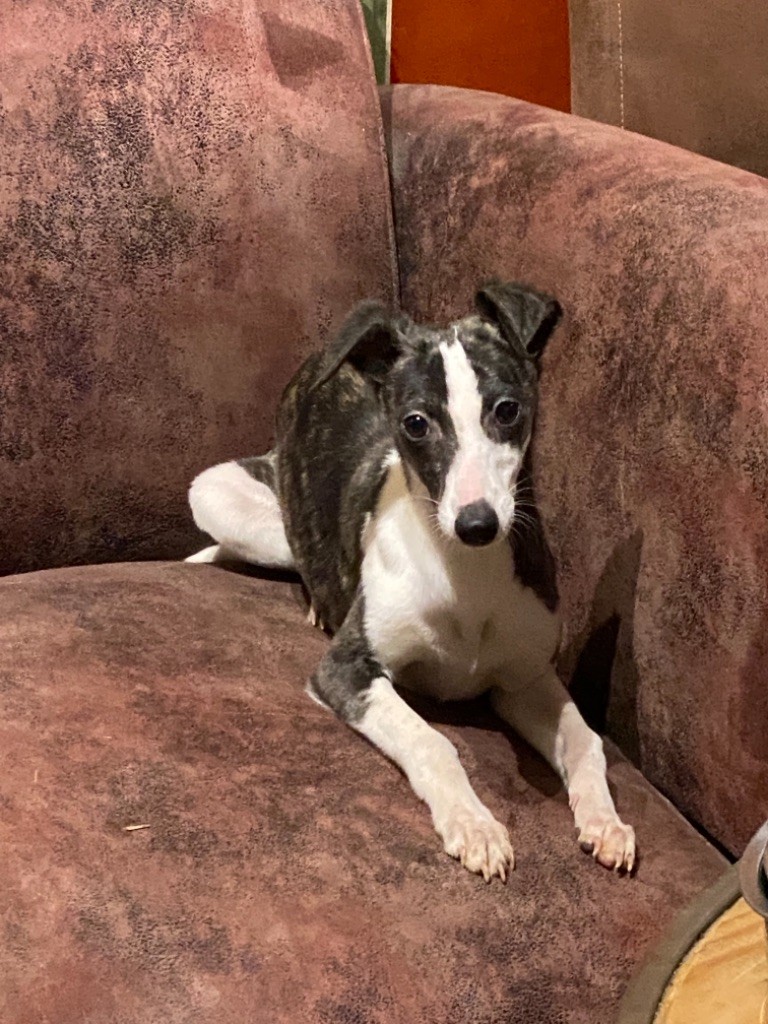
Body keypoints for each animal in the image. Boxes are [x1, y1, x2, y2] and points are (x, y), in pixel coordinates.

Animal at [186, 281, 636, 883]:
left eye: (508, 410)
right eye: (416, 423)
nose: (476, 525)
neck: (464, 573)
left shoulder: (523, 680)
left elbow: (585, 740)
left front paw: (605, 823)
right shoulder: (345, 670)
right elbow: (433, 741)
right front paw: (474, 825)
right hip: (225, 501)